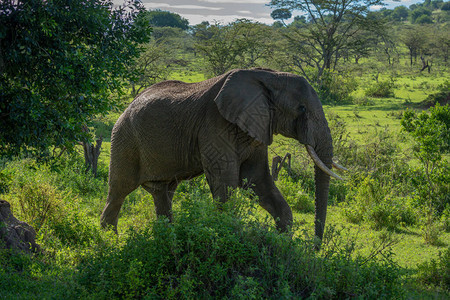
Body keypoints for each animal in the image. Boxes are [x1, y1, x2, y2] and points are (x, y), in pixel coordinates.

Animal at [101, 68, 344, 241]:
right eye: (301, 108)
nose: (315, 247)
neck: (269, 76)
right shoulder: (214, 125)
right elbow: (225, 181)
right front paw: (228, 234)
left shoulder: (257, 127)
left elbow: (257, 179)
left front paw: (283, 243)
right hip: (124, 140)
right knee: (119, 191)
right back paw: (109, 243)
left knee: (163, 192)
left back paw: (166, 237)